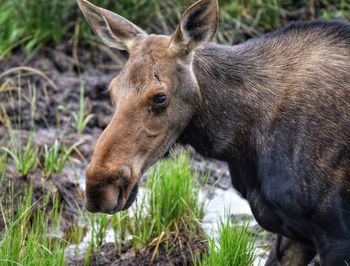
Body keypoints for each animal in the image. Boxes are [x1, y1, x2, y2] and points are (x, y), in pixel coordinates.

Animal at [78, 0, 350, 264]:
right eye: (111, 91)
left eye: (160, 97)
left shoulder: (334, 234)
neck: (240, 141)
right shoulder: (294, 233)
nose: (98, 188)